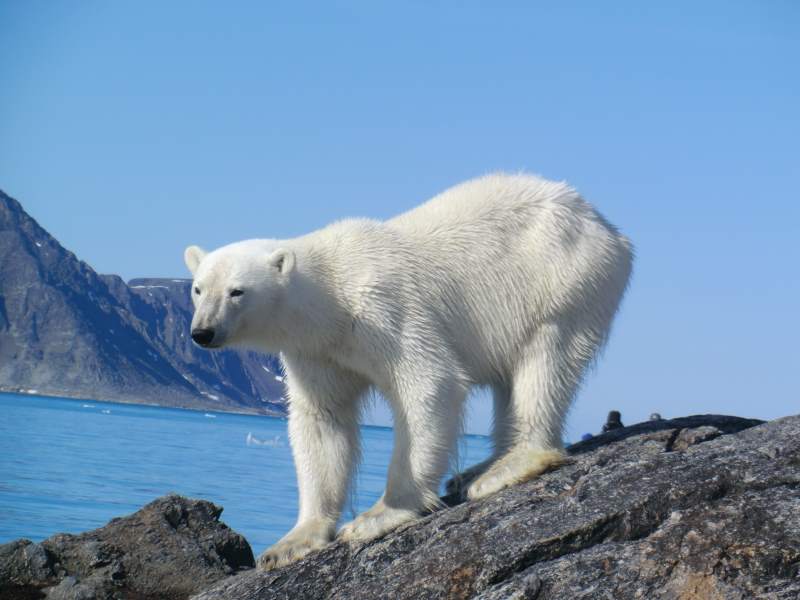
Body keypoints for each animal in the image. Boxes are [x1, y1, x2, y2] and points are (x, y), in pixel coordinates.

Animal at [181, 172, 632, 572]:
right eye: (198, 288)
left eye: (237, 291)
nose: (202, 332)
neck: (329, 296)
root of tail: (603, 223)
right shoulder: (317, 351)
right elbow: (322, 420)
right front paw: (291, 543)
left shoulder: (382, 309)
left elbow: (429, 383)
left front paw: (378, 515)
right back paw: (478, 468)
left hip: (560, 277)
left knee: (544, 360)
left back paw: (507, 467)